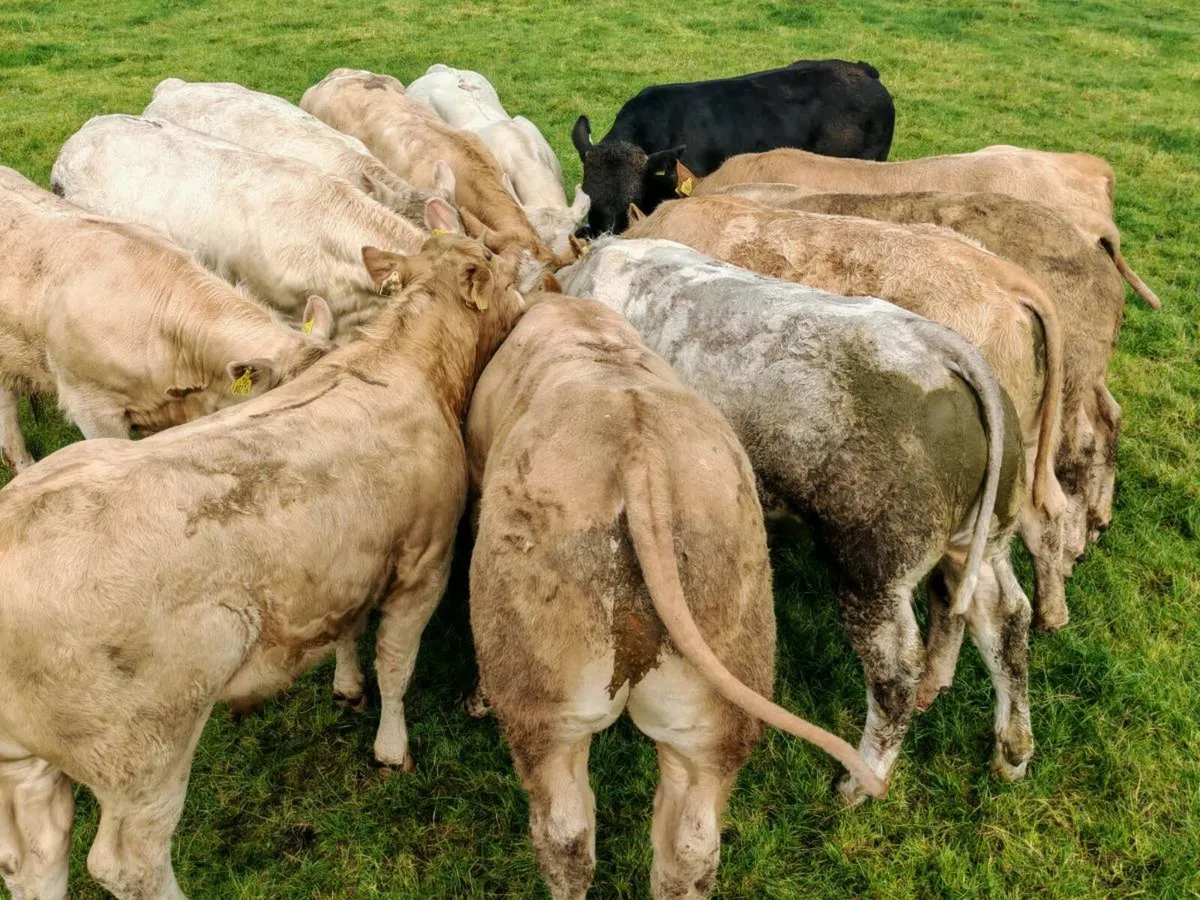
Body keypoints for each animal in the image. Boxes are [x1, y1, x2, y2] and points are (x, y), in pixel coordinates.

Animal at [0, 235, 525, 900]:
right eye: (494, 264)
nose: (526, 290)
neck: (404, 364)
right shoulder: (423, 563)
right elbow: (396, 666)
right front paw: (391, 747)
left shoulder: (346, 561)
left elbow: (347, 630)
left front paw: (347, 687)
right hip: (141, 750)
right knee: (127, 863)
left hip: (26, 762)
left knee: (32, 857)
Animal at [558, 238, 1034, 806]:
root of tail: (942, 349)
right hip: (987, 534)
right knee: (1005, 615)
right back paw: (1011, 751)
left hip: (874, 564)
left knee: (896, 671)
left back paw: (857, 783)